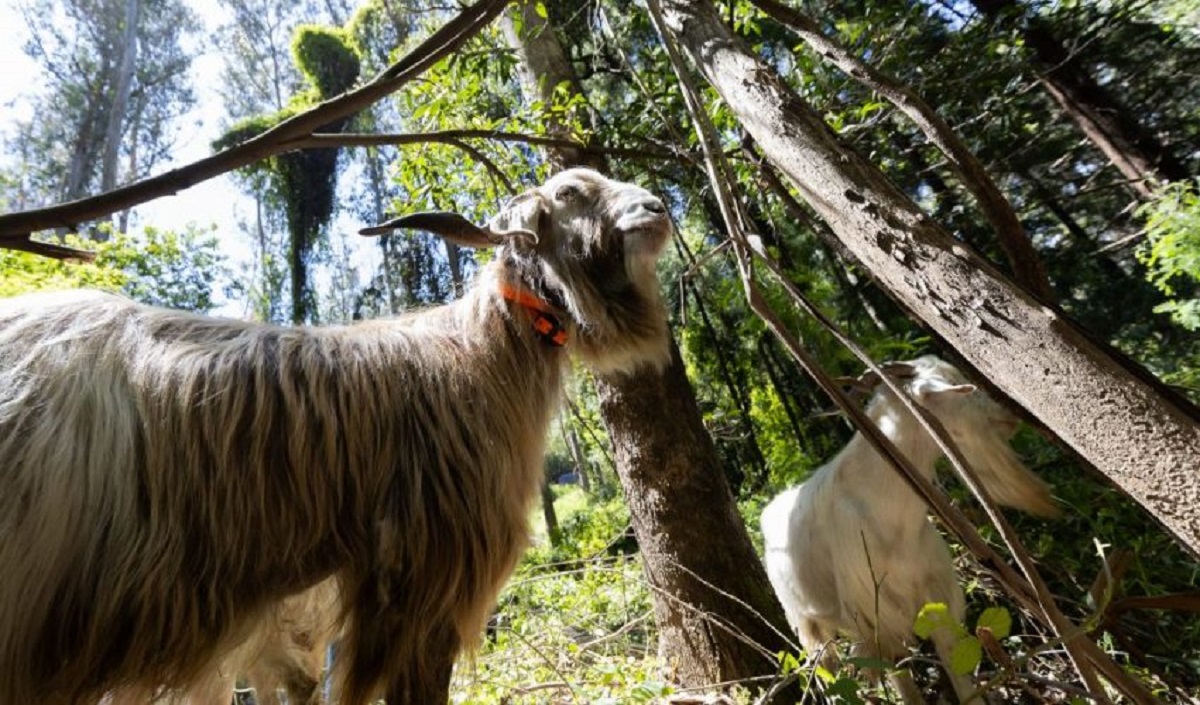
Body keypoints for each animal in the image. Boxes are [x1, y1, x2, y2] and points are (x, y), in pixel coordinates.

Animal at [763, 354, 1056, 700]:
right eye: (957, 386)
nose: (1009, 416)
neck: (890, 511)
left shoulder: (934, 596)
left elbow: (957, 673)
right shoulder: (876, 616)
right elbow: (901, 680)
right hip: (807, 624)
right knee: (827, 672)